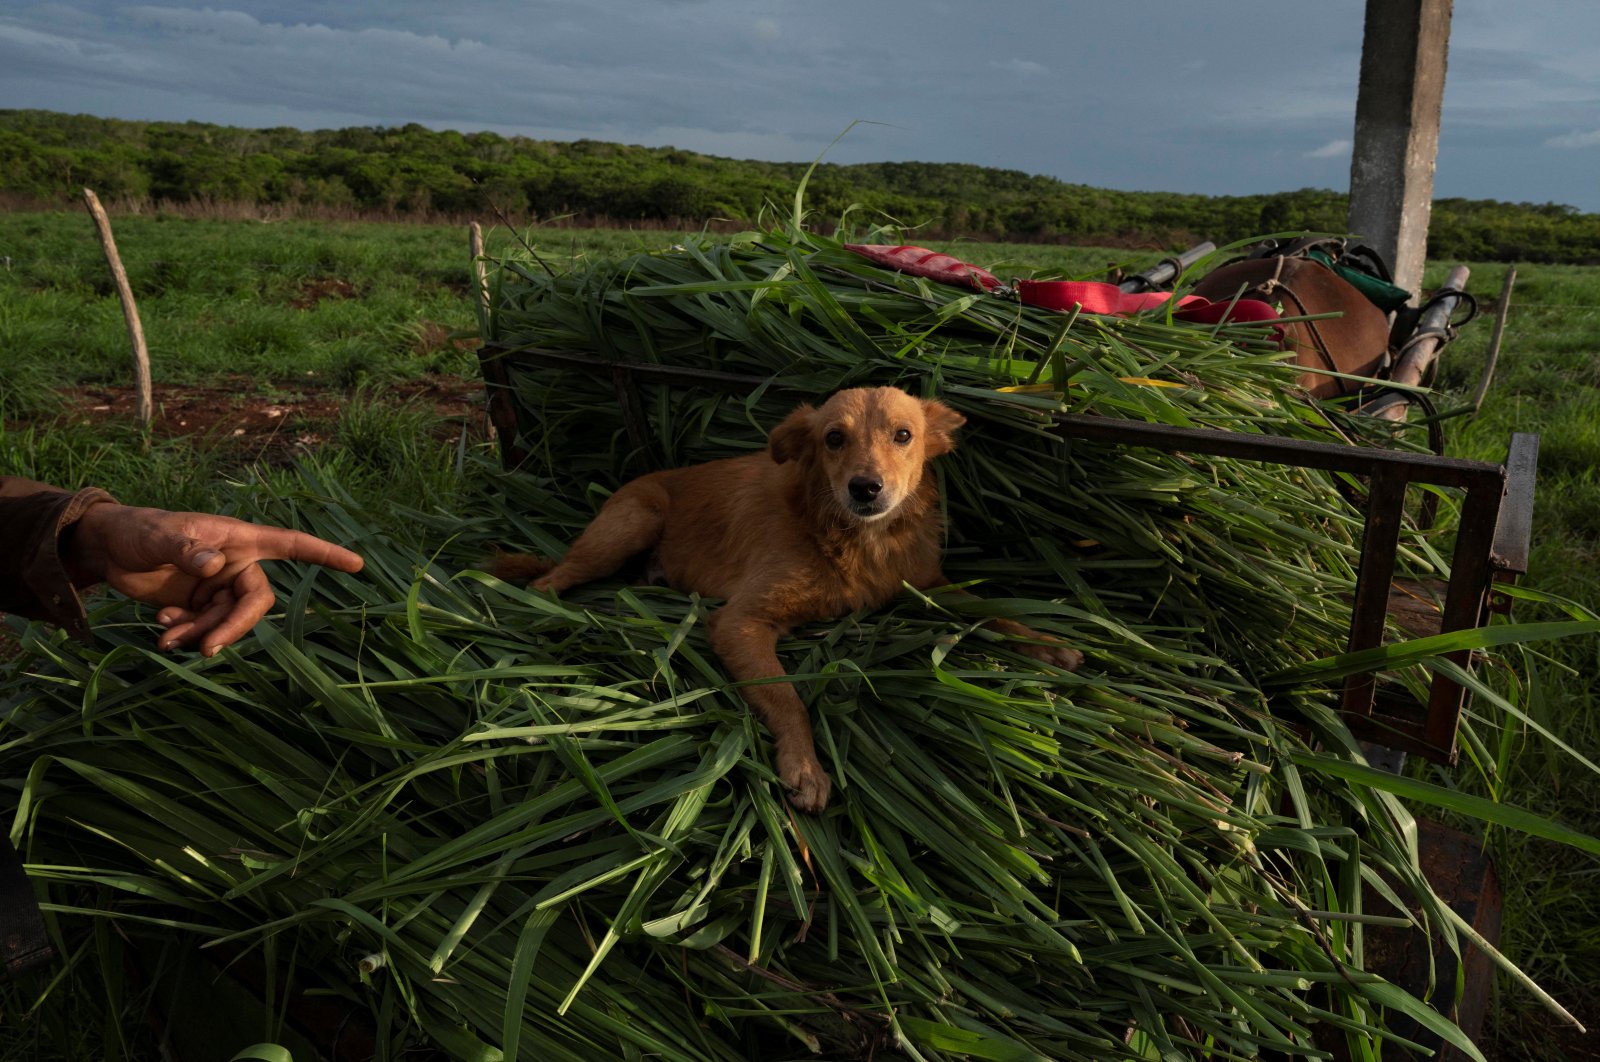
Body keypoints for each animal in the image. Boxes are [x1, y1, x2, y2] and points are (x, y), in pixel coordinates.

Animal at [492, 385, 1081, 809]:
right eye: (834, 439)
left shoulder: (925, 586)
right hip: (632, 523)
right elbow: (786, 697)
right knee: (550, 579)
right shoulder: (741, 621)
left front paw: (1046, 643)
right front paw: (804, 766)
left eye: (904, 434)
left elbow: (992, 611)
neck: (850, 539)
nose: (866, 488)